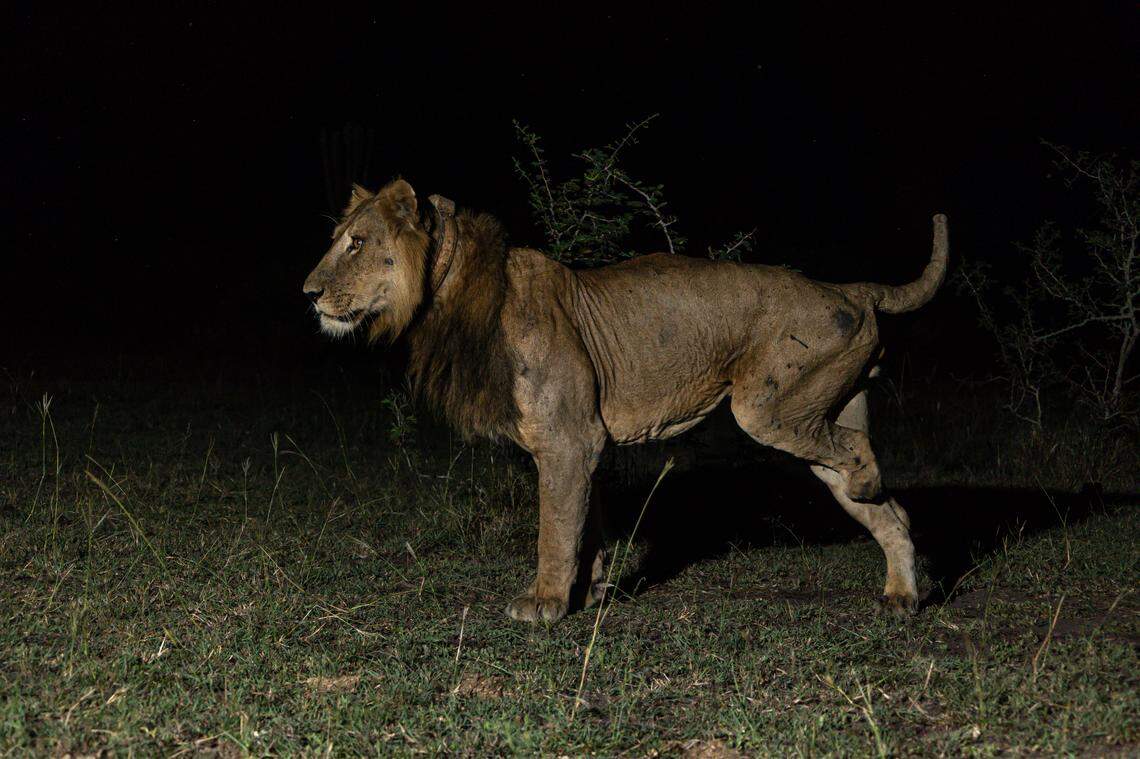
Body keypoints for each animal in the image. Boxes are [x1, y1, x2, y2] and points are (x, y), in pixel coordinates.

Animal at [303, 179, 948, 622]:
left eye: (357, 243)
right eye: (336, 240)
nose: (307, 293)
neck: (449, 294)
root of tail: (848, 288)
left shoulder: (569, 440)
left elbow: (555, 528)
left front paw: (544, 603)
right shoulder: (582, 444)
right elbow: (585, 524)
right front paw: (588, 592)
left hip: (768, 408)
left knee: (858, 453)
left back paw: (870, 487)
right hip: (818, 410)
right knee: (889, 510)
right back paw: (901, 595)